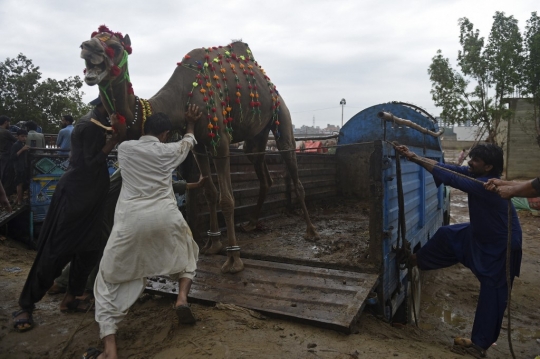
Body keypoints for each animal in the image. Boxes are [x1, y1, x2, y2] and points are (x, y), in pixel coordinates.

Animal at [78, 25, 318, 272]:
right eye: (91, 39)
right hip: (256, 138)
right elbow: (210, 193)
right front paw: (213, 244)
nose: (87, 47)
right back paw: (251, 224)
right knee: (263, 172)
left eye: (115, 47)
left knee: (293, 168)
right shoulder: (199, 146)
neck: (183, 95)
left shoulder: (220, 141)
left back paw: (311, 231)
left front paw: (233, 259)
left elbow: (227, 199)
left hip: (281, 116)